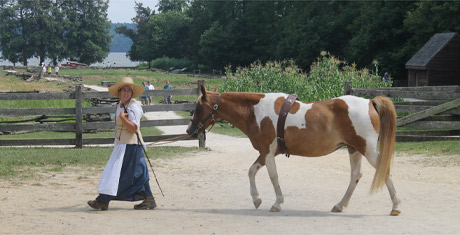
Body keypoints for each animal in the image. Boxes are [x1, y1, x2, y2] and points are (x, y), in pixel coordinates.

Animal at [185, 85, 400, 216]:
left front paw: (277, 203)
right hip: (353, 149)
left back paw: (396, 206)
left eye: (198, 107)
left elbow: (273, 176)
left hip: (366, 149)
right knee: (355, 175)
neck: (256, 112)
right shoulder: (265, 152)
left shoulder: (268, 153)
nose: (189, 130)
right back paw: (340, 205)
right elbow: (251, 171)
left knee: (385, 170)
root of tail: (369, 102)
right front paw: (256, 199)